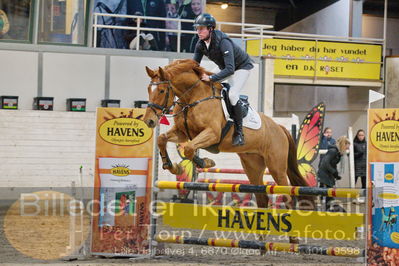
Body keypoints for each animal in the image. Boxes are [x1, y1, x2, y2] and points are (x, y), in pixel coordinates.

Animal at [144, 58, 316, 212]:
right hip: (252, 166)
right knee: (262, 197)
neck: (193, 98)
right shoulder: (182, 133)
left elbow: (189, 149)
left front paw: (206, 162)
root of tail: (279, 128)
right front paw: (173, 167)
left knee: (287, 195)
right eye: (148, 89)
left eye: (161, 90)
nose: (149, 121)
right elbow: (162, 139)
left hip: (276, 167)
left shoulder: (212, 133)